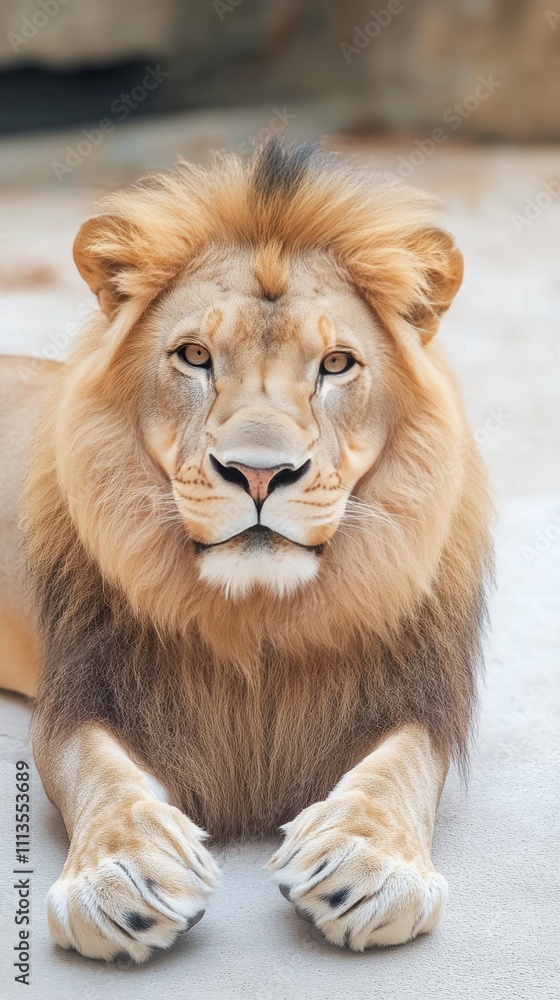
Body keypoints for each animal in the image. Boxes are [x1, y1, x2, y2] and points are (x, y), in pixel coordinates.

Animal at [0, 140, 492, 963]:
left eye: (336, 364)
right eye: (195, 356)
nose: (260, 474)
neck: (258, 613)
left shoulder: (413, 693)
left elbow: (396, 771)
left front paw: (364, 863)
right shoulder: (88, 691)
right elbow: (98, 772)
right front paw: (121, 875)